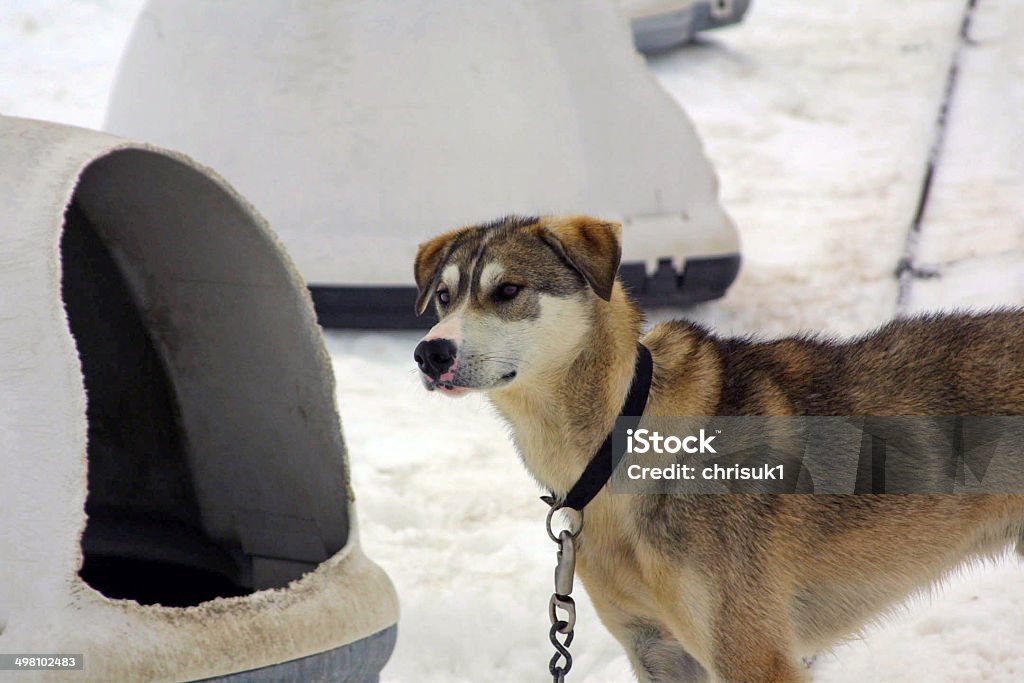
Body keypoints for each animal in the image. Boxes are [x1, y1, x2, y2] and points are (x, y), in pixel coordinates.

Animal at [411, 216, 1019, 679]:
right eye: (443, 298)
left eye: (508, 291)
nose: (429, 353)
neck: (620, 442)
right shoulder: (656, 648)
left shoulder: (751, 655)